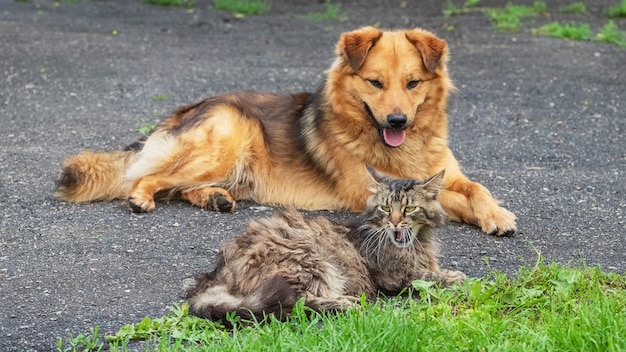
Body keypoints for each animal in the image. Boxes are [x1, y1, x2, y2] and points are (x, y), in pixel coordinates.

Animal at [56, 26, 516, 236]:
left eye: (413, 83)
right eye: (375, 83)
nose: (397, 122)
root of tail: (184, 110)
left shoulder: (448, 174)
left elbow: (476, 188)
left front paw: (497, 213)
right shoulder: (372, 191)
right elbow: (448, 200)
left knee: (182, 187)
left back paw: (216, 199)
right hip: (227, 143)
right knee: (149, 176)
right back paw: (142, 197)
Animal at [185, 169, 464, 324]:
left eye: (409, 209)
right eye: (386, 208)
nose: (395, 222)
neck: (416, 242)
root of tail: (219, 272)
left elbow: (434, 270)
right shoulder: (394, 275)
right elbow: (428, 276)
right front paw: (455, 277)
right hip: (312, 262)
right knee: (299, 303)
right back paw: (346, 303)